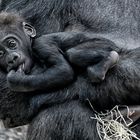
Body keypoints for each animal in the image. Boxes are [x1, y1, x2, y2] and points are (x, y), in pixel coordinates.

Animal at [0, 0, 140, 139]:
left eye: (12, 44)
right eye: (0, 53)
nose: (11, 59)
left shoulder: (41, 44)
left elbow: (63, 71)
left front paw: (17, 80)